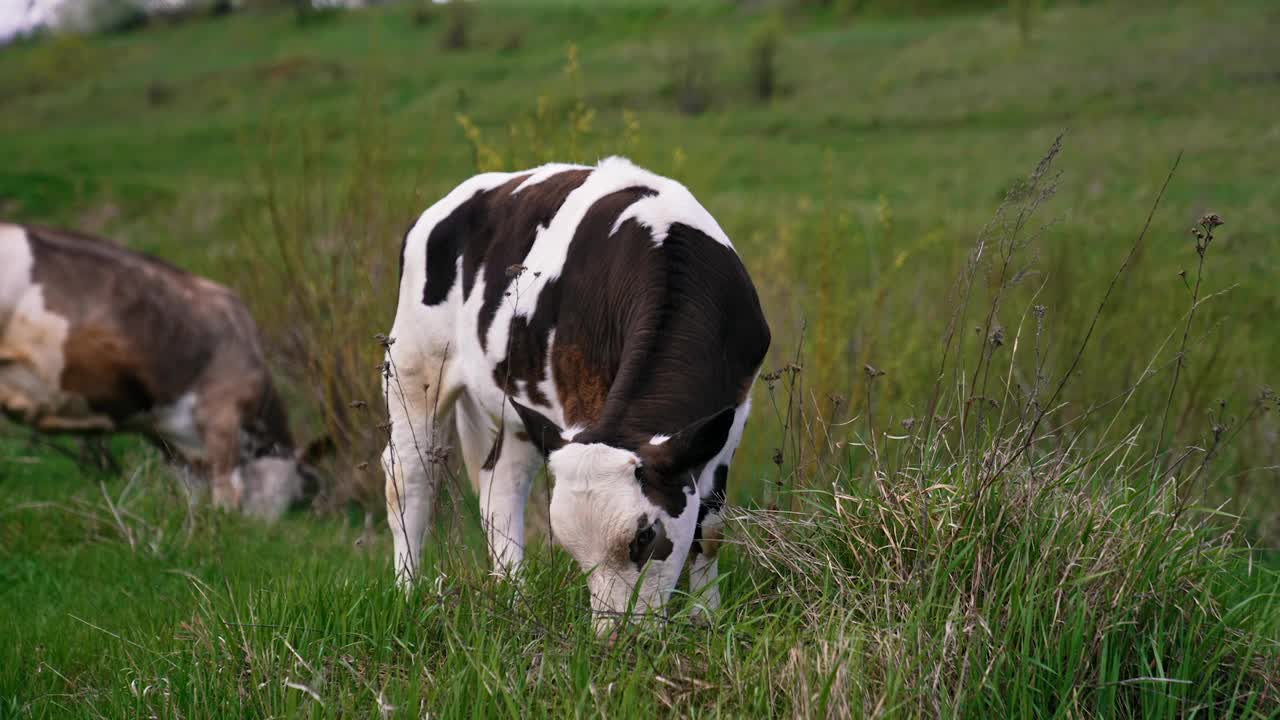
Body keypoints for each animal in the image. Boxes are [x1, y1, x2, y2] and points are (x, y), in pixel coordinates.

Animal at [373, 154, 762, 625]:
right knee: (409, 478)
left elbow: (711, 525)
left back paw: (515, 597)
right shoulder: (580, 399)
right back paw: (408, 592)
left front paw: (705, 615)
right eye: (577, 555)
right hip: (412, 366)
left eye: (645, 536)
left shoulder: (733, 411)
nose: (615, 635)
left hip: (519, 411)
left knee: (500, 485)